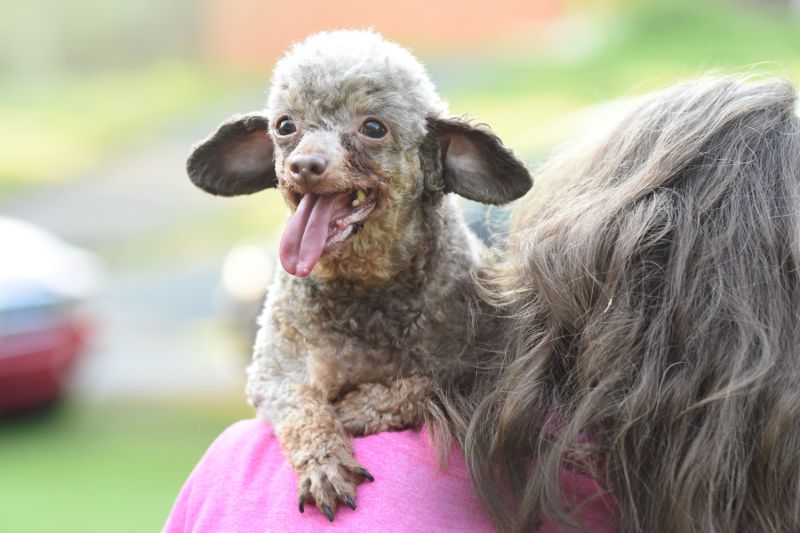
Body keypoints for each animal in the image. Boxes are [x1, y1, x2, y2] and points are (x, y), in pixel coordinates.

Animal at [187, 29, 532, 520]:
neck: (365, 291)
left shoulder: (476, 367)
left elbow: (423, 384)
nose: (304, 165)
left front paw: (353, 408)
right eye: (286, 126)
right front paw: (326, 463)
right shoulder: (274, 373)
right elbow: (303, 410)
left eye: (373, 128)